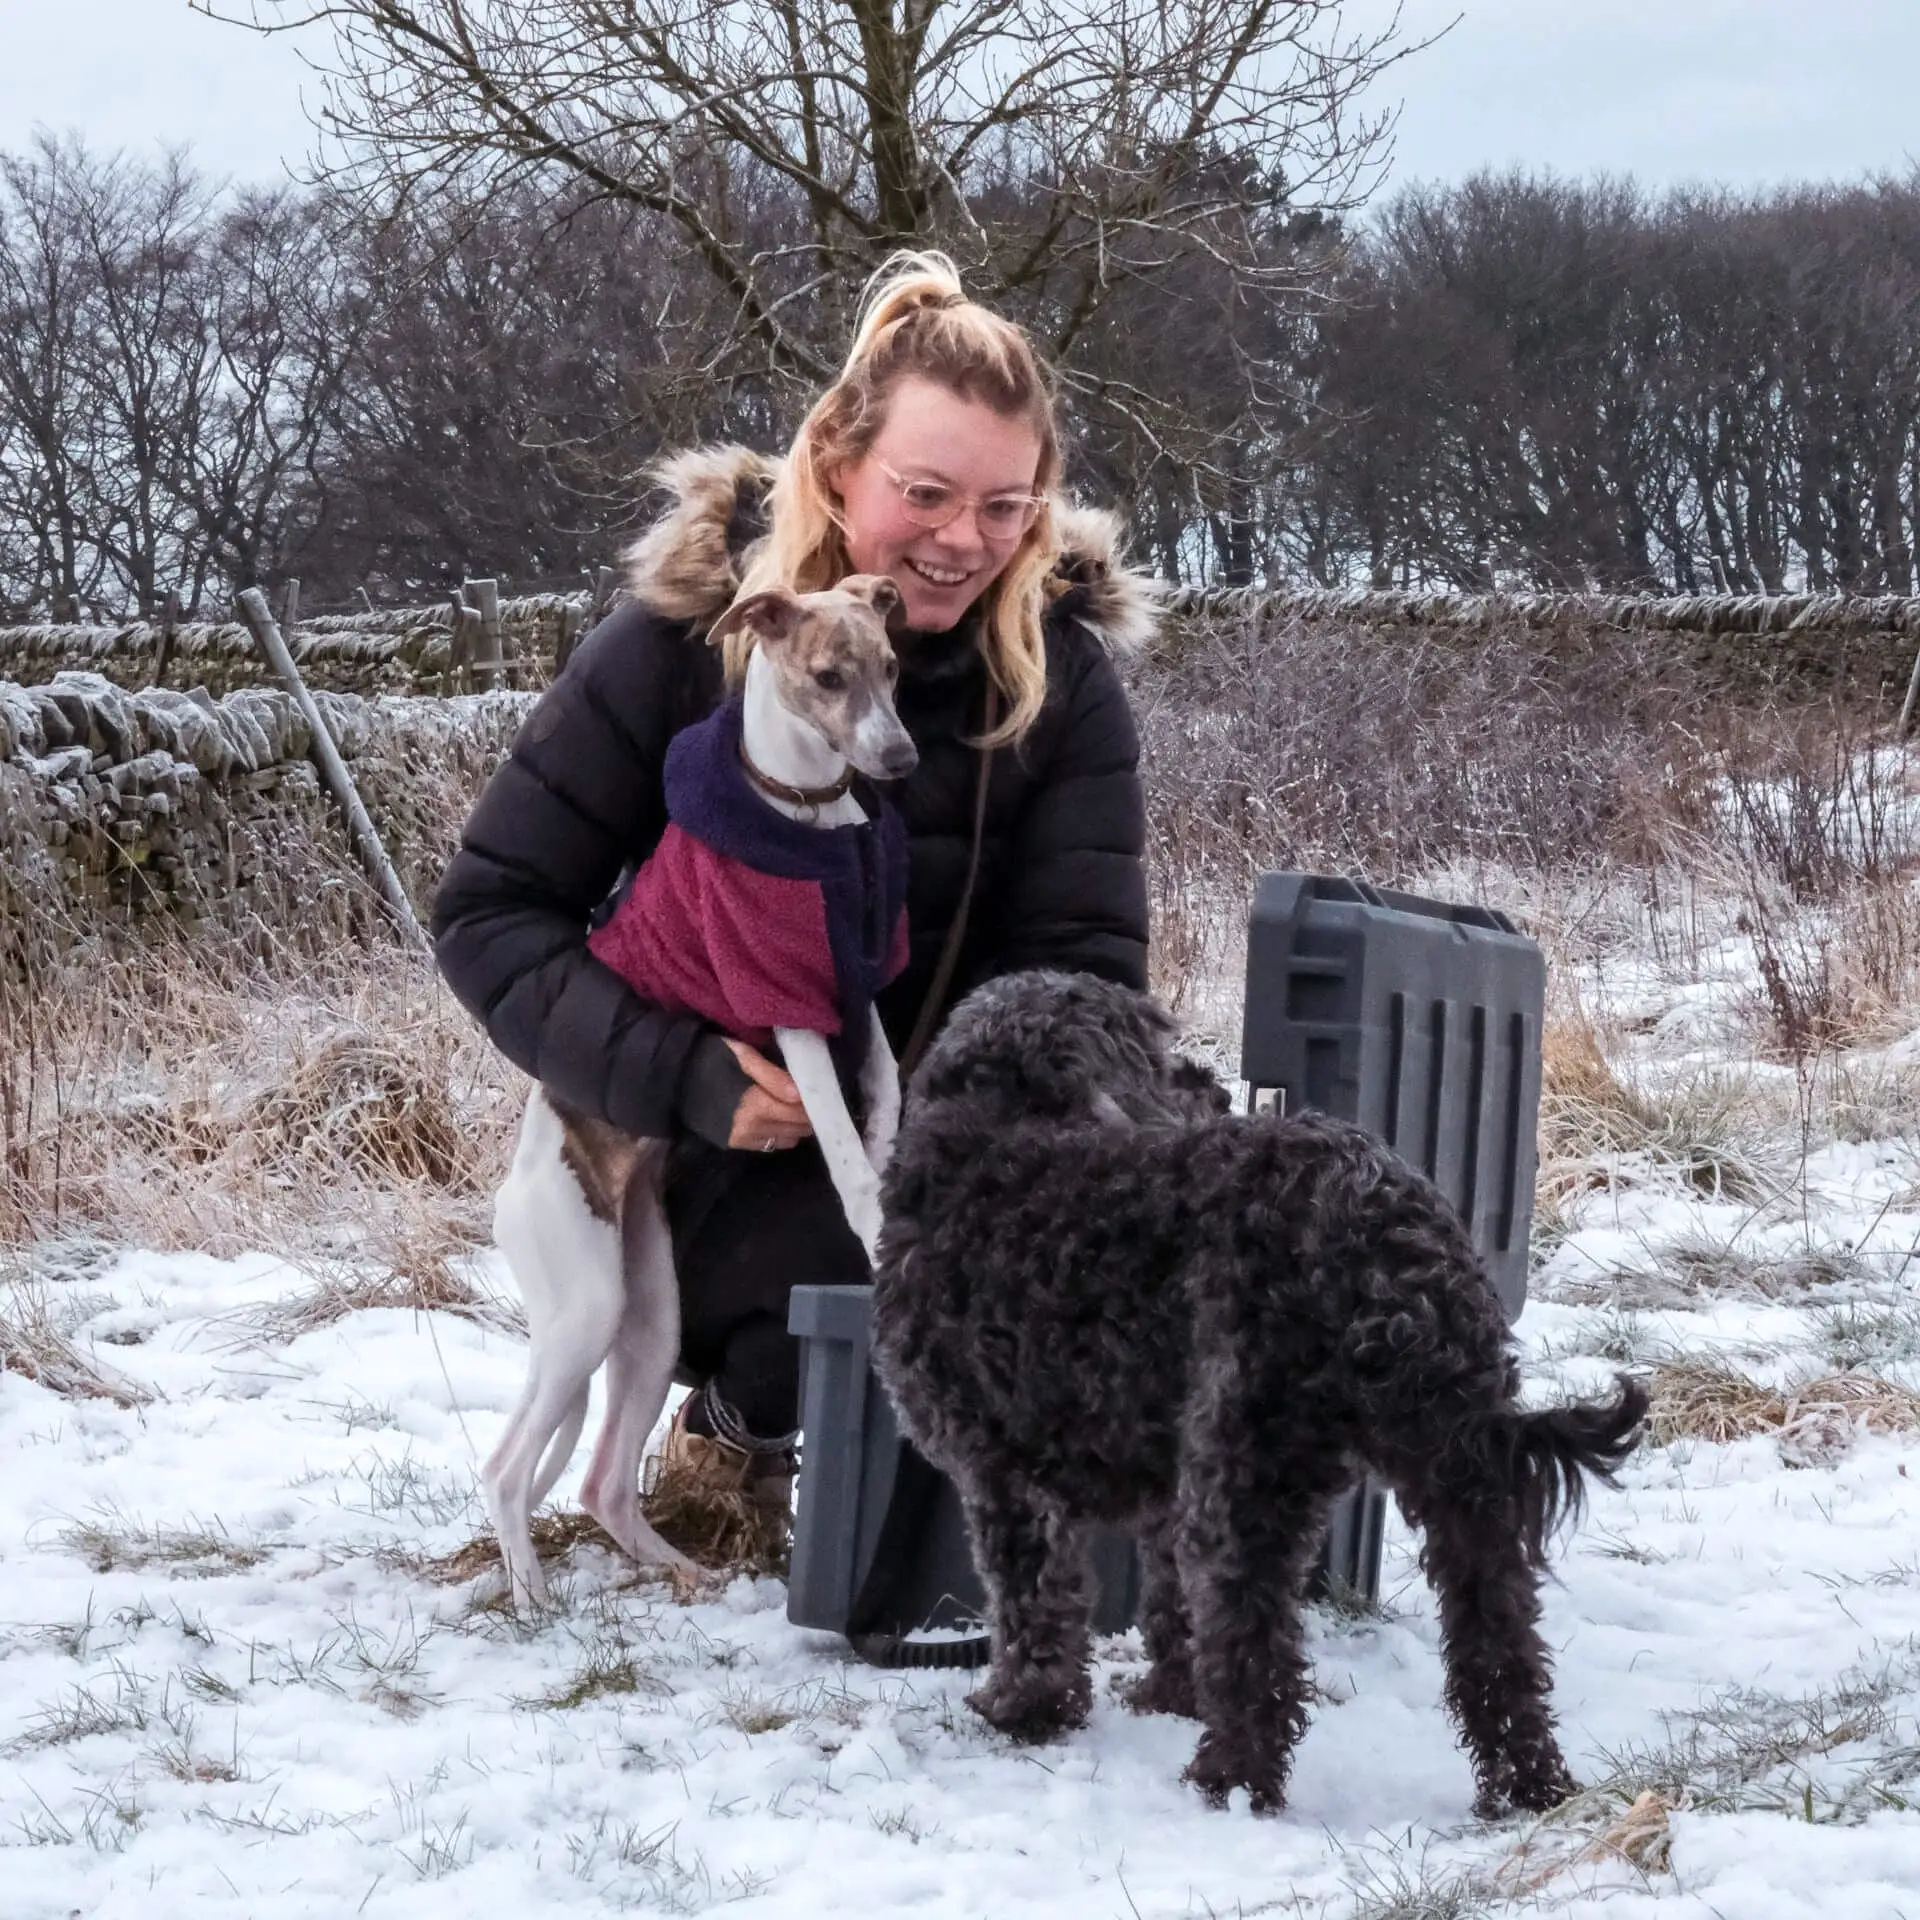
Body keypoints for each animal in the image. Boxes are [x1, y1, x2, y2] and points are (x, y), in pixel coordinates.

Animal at [483, 576, 910, 1612]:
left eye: (892, 667)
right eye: (828, 677)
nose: (901, 758)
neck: (804, 819)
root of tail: (514, 1191)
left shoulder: (857, 991)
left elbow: (885, 1086)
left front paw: (895, 1149)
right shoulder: (783, 1010)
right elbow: (840, 1147)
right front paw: (874, 1216)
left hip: (648, 1315)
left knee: (600, 1479)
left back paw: (681, 1571)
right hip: (585, 1308)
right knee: (506, 1469)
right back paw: (531, 1595)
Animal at [879, 975, 1643, 1812]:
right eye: (1162, 1055)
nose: (1211, 1087)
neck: (993, 1137)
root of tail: (1384, 1244)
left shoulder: (1005, 1479)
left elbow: (1034, 1608)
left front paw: (1022, 1708)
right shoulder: (1158, 1483)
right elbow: (1167, 1604)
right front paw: (1168, 1695)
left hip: (1245, 1479)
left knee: (1258, 1654)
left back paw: (1229, 1781)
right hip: (1461, 1483)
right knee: (1501, 1646)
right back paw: (1528, 1785)